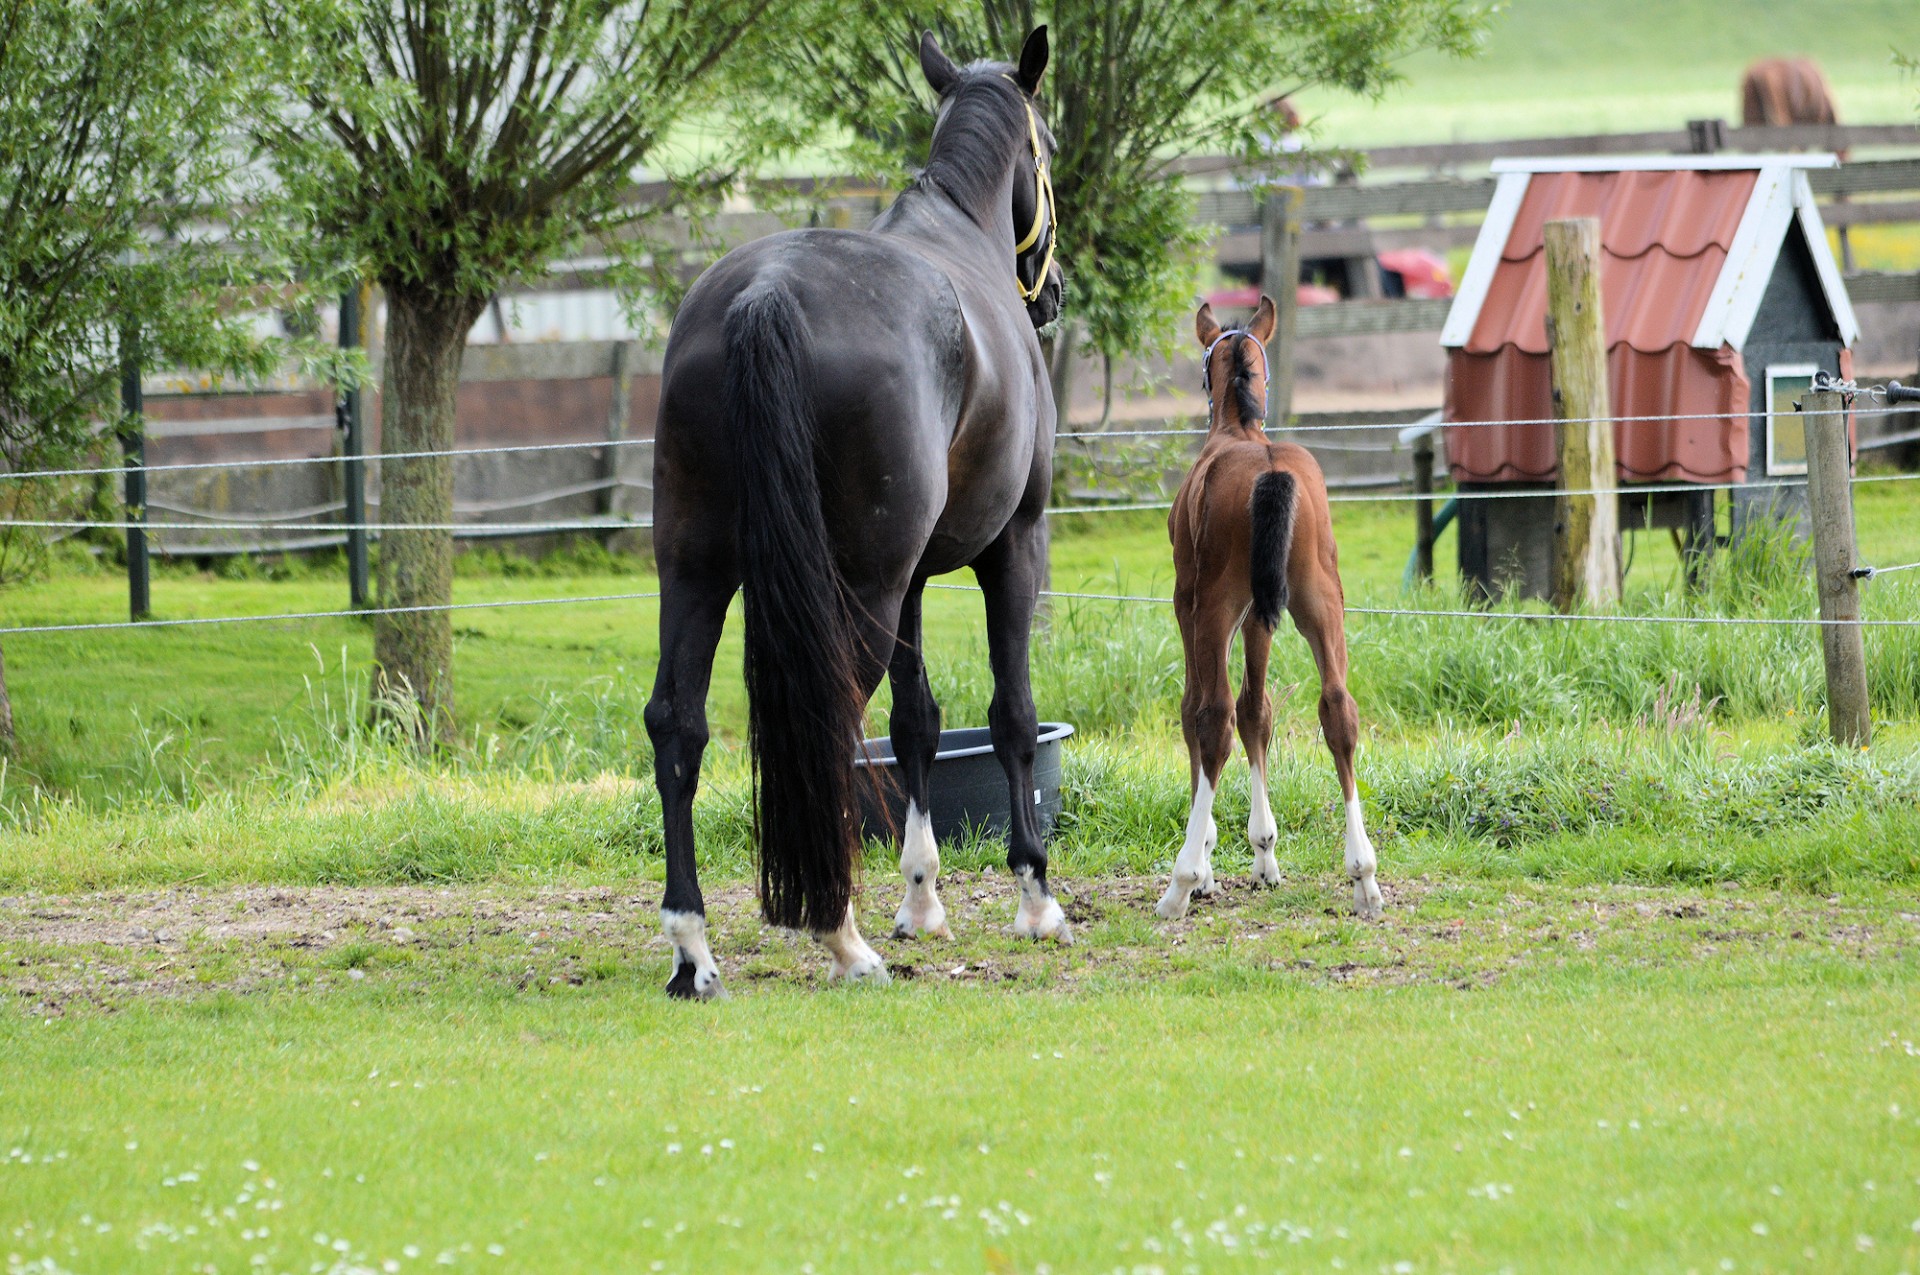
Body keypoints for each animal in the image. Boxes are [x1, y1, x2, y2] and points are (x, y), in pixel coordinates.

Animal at [645, 22, 1067, 998]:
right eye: (1051, 147)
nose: (1054, 290)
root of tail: (765, 295)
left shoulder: (910, 578)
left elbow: (918, 724)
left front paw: (922, 898)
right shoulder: (1011, 547)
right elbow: (1011, 715)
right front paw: (1034, 896)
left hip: (695, 568)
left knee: (676, 723)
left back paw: (694, 946)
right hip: (858, 588)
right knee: (828, 720)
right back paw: (840, 935)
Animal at [1152, 295, 1382, 921]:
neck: (1239, 430)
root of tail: (1272, 467)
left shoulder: (1189, 604)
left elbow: (1200, 710)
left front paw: (1207, 861)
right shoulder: (1261, 616)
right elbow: (1259, 710)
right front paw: (1264, 854)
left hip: (1212, 606)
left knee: (1212, 717)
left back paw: (1179, 885)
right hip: (1319, 602)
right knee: (1338, 709)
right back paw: (1364, 874)